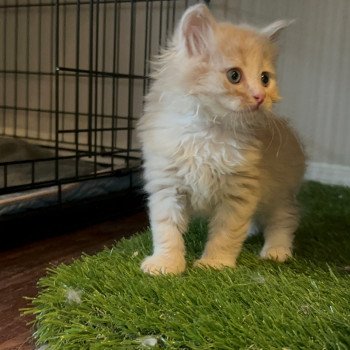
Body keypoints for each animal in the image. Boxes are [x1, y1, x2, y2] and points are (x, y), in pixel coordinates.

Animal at [137, 4, 306, 274]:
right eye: (234, 75)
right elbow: (166, 230)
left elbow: (225, 234)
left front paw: (214, 264)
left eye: (265, 79)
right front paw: (166, 264)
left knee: (286, 217)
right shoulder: (167, 185)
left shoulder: (239, 192)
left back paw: (277, 251)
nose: (260, 97)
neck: (208, 133)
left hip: (279, 192)